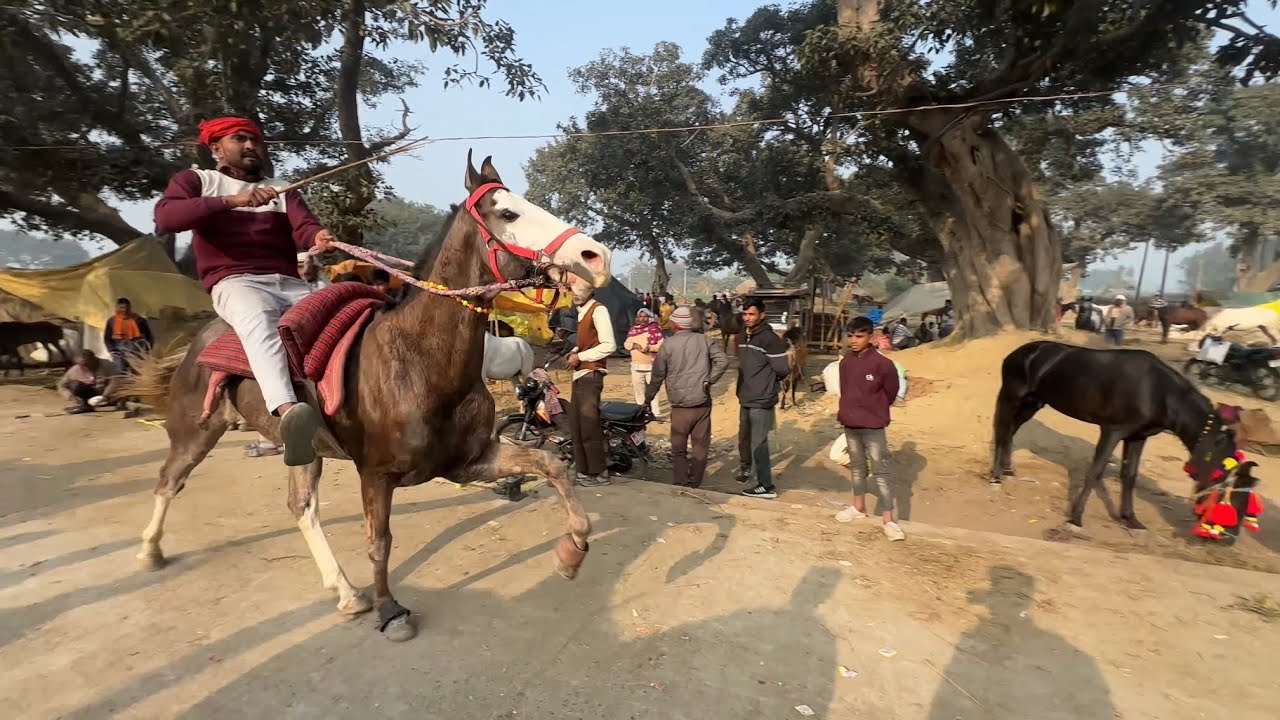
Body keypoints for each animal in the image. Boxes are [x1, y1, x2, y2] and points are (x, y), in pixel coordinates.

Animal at [119, 153, 612, 643]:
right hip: (196, 430)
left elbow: (551, 465)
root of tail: (197, 342)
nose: (596, 256)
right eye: (508, 213)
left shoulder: (470, 461)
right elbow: (379, 541)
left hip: (304, 450)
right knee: (169, 480)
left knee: (300, 507)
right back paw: (149, 551)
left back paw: (345, 592)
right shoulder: (376, 474)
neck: (418, 360)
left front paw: (573, 551)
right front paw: (390, 609)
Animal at [989, 341, 1242, 533]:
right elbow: (1095, 471)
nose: (1210, 518)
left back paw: (1007, 470)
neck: (1157, 391)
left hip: (1033, 403)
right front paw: (1075, 518)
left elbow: (1129, 476)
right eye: (1221, 471)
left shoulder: (1137, 437)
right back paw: (995, 476)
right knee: (1002, 430)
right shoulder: (1112, 430)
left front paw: (1131, 519)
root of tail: (1019, 352)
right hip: (1011, 397)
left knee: (1010, 431)